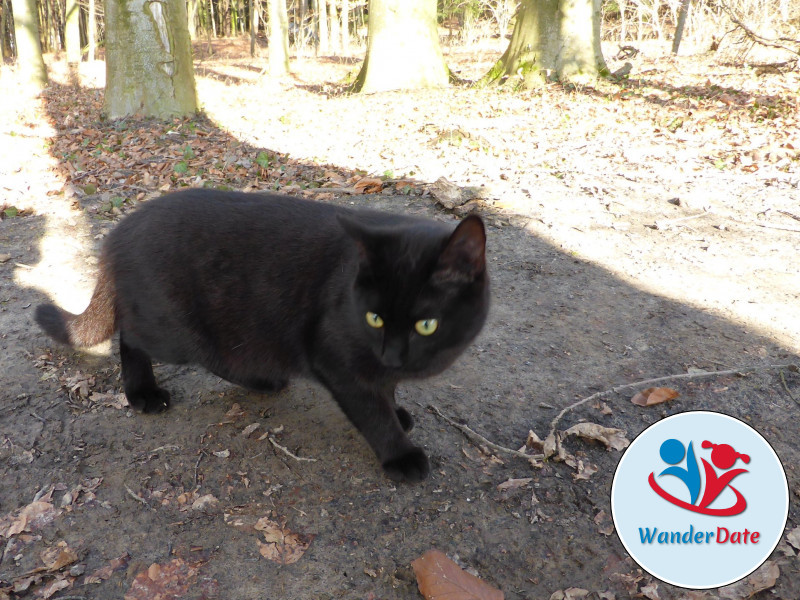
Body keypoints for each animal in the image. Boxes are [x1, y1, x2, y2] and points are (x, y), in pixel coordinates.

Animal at [36, 191, 488, 482]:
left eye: (426, 324)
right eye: (374, 318)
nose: (393, 355)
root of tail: (121, 229)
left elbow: (387, 390)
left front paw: (397, 409)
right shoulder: (337, 359)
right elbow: (373, 414)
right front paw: (400, 453)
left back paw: (262, 380)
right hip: (172, 330)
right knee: (131, 335)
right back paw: (143, 393)